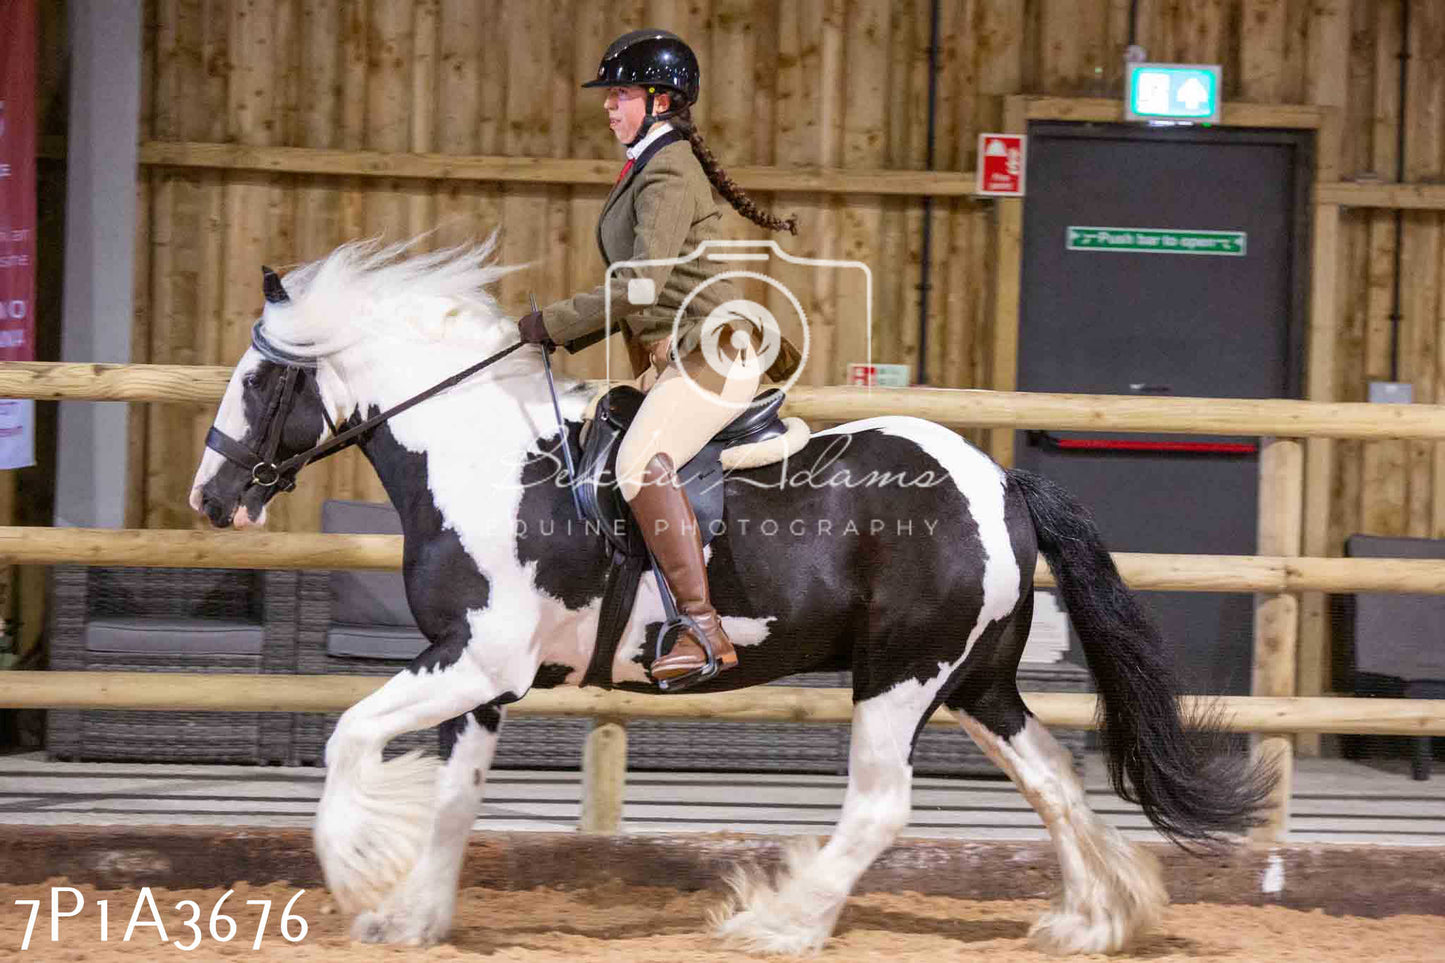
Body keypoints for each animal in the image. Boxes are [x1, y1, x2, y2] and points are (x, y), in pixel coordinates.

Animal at [192, 238, 1277, 954]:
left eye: (259, 380)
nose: (210, 497)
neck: (486, 461)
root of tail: (1002, 481)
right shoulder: (482, 679)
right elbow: (455, 799)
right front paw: (410, 915)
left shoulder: (475, 658)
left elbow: (348, 738)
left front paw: (356, 871)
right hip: (973, 682)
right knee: (1051, 777)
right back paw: (1090, 920)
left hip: (898, 676)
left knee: (880, 806)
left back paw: (777, 920)